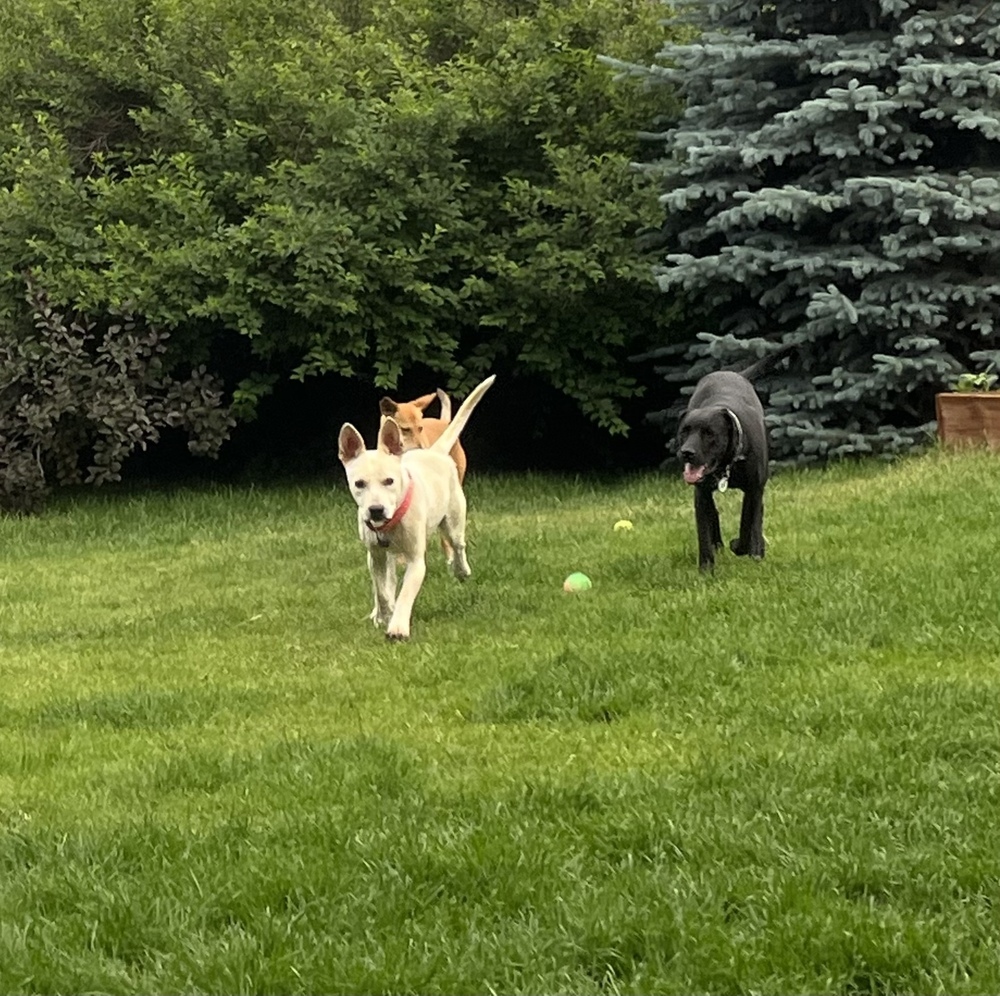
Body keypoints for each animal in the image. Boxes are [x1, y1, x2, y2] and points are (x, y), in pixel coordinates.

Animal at [340, 378, 496, 640]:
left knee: (458, 544)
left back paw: (461, 570)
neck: (390, 523)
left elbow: (406, 592)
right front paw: (383, 613)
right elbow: (381, 589)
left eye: (389, 481)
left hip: (454, 516)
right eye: (359, 483)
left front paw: (397, 627)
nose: (375, 510)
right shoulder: (376, 554)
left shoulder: (415, 559)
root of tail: (434, 452)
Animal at [676, 354, 784, 572]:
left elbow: (747, 524)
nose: (686, 453)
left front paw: (744, 548)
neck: (728, 464)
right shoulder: (701, 492)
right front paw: (706, 569)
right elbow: (704, 532)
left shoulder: (753, 489)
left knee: (757, 518)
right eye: (685, 431)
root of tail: (732, 372)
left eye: (709, 433)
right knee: (713, 514)